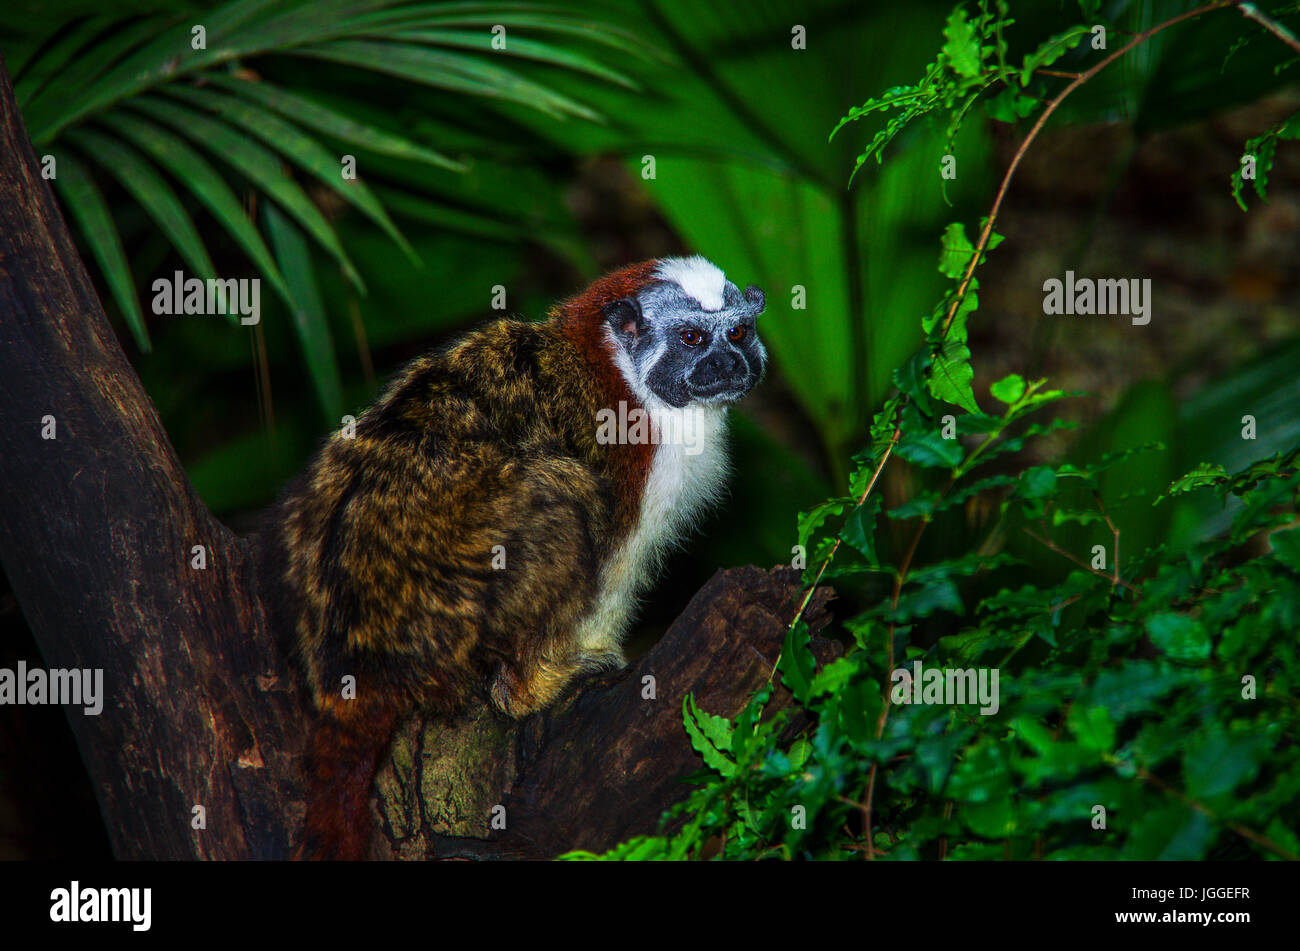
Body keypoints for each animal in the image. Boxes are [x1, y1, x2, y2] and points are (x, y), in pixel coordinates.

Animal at [260, 255, 764, 857]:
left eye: (739, 333)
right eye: (692, 339)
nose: (727, 363)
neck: (620, 371)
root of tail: (362, 656)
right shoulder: (636, 454)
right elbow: (612, 563)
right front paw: (569, 667)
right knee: (560, 494)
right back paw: (524, 688)